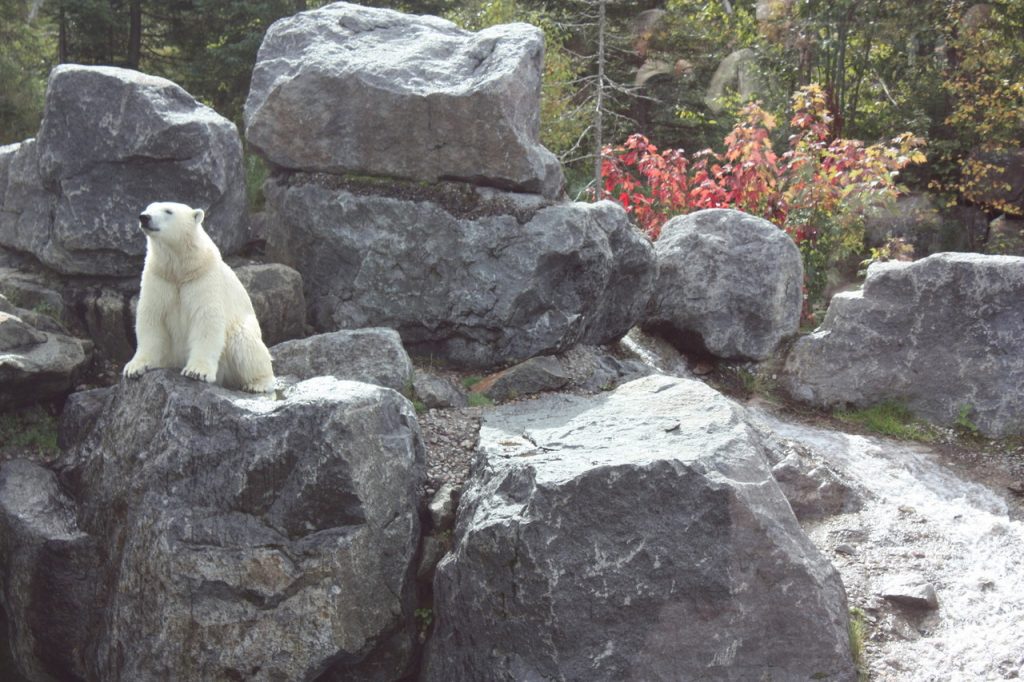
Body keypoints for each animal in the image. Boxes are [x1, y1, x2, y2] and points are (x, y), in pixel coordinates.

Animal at [122, 201, 276, 391]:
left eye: (168, 211)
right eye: (148, 208)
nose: (144, 217)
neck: (181, 270)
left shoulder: (203, 278)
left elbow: (206, 319)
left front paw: (196, 372)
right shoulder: (159, 277)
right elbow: (151, 317)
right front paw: (134, 368)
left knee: (245, 342)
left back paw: (258, 383)